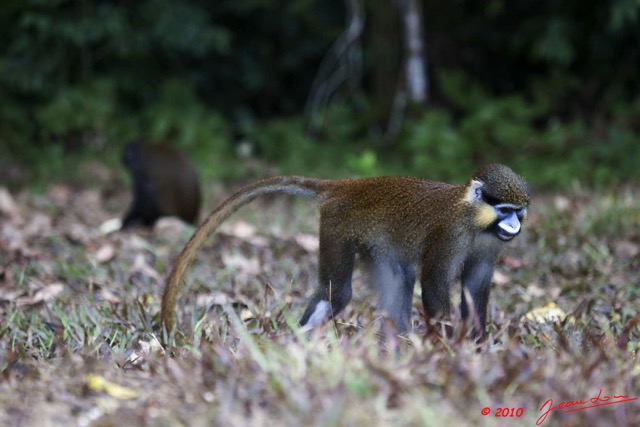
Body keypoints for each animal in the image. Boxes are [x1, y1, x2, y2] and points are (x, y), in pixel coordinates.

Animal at [161, 164, 528, 338]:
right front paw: (450, 347)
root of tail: (348, 186)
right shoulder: (449, 235)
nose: (514, 226)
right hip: (337, 226)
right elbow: (436, 284)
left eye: (519, 211)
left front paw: (477, 345)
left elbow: (474, 287)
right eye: (504, 210)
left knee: (398, 276)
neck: (476, 219)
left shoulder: (489, 246)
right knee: (336, 293)